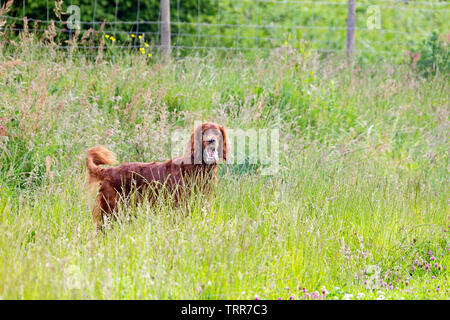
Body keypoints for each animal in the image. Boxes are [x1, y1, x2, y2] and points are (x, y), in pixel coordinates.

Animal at [86, 122, 230, 230]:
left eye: (217, 133)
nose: (211, 140)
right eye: (203, 132)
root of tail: (108, 171)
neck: (198, 168)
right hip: (112, 211)